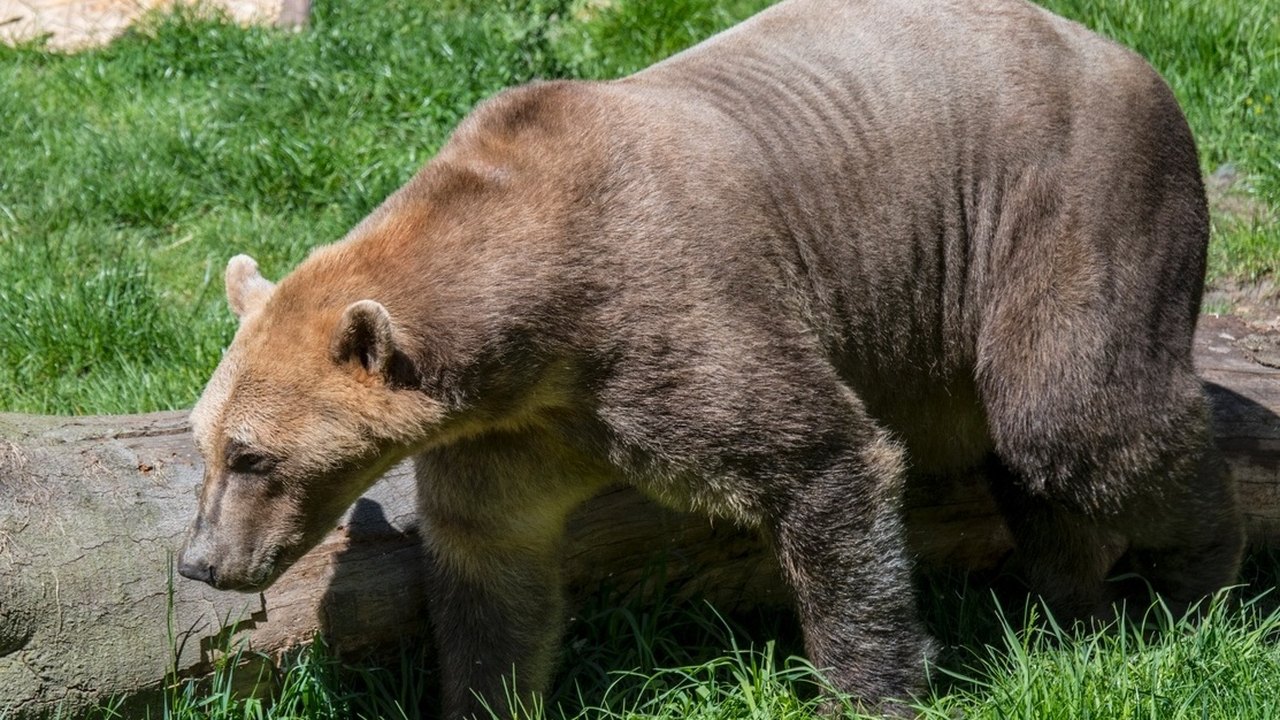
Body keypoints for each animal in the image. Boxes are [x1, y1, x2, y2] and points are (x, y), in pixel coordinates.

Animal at [177, 0, 1244, 716]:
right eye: (205, 446)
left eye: (254, 455)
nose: (201, 561)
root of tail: (1129, 54)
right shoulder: (516, 430)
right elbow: (492, 569)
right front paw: (489, 693)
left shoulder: (671, 320)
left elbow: (824, 461)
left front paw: (869, 687)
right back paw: (1067, 600)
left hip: (1068, 205)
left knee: (1079, 421)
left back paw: (1201, 578)